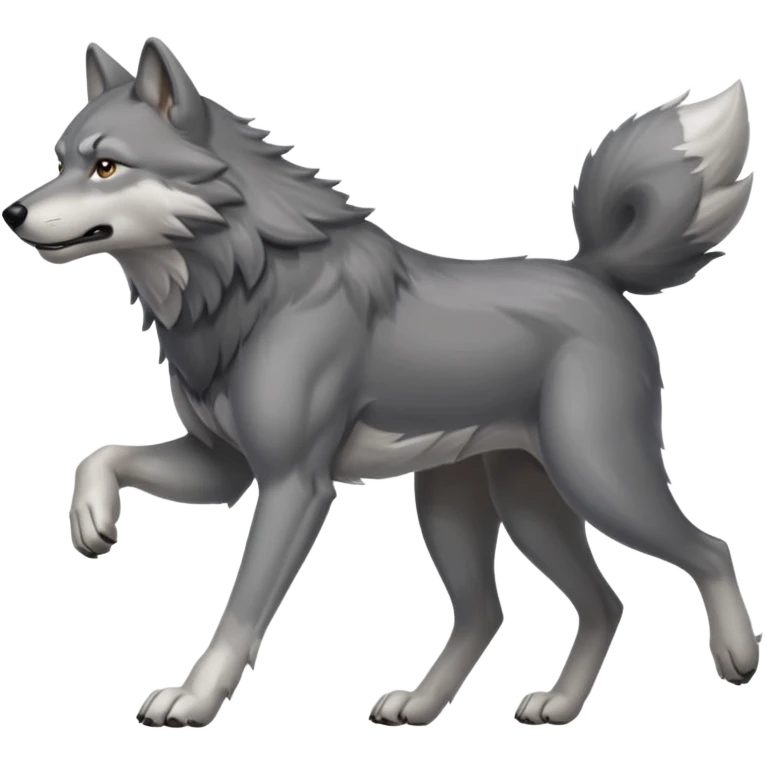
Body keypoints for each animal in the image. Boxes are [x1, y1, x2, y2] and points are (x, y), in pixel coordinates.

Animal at [4, 37, 759, 729]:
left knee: (706, 550)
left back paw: (737, 657)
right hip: (493, 503)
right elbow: (100, 455)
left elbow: (242, 609)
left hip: (597, 477)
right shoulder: (223, 468)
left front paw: (193, 698)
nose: (13, 212)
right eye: (61, 159)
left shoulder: (294, 483)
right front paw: (92, 521)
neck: (246, 281)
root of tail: (594, 273)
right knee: (538, 608)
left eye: (106, 165)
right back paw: (479, 704)